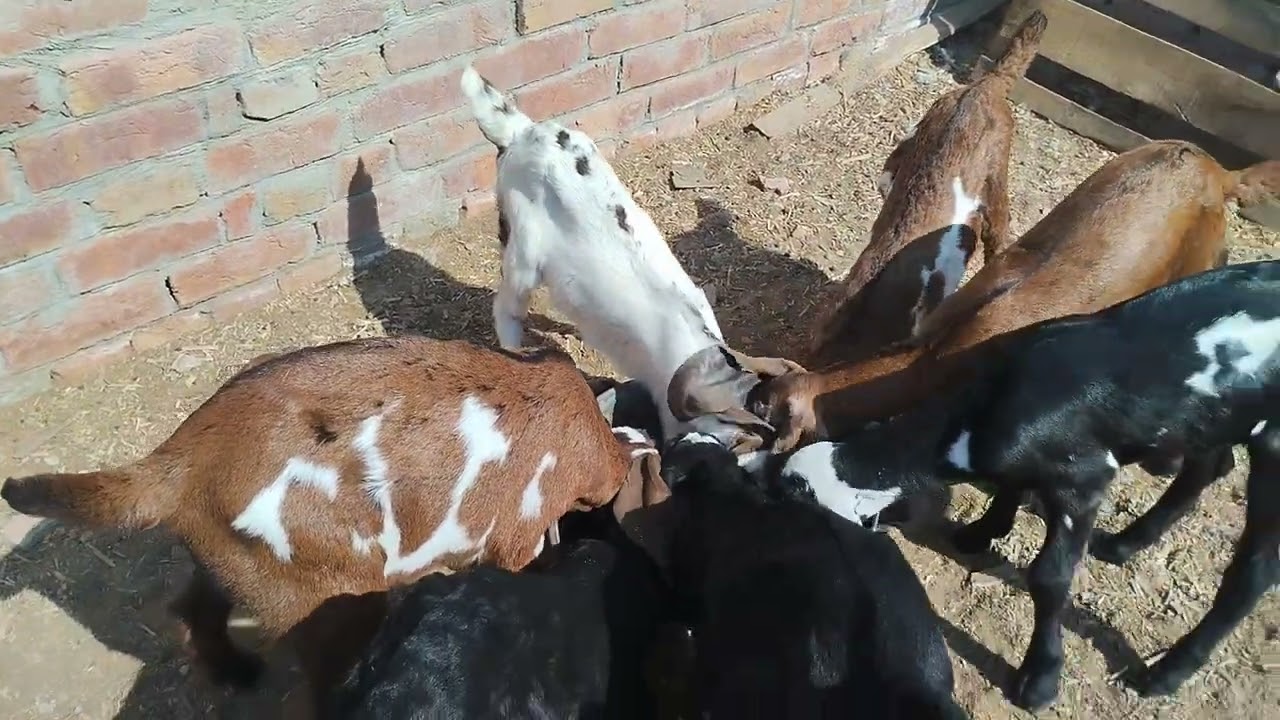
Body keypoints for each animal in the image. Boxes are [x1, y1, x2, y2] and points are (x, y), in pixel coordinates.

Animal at [1, 336, 660, 702]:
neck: (583, 427)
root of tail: (181, 462)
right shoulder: (516, 538)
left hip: (234, 561)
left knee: (193, 608)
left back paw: (235, 674)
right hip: (329, 594)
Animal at [773, 260, 1280, 711]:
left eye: (800, 497)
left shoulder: (1085, 480)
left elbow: (1049, 577)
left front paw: (1039, 681)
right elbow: (1010, 487)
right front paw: (981, 531)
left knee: (1253, 571)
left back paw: (1166, 673)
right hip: (1206, 420)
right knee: (1211, 464)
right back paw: (1126, 544)